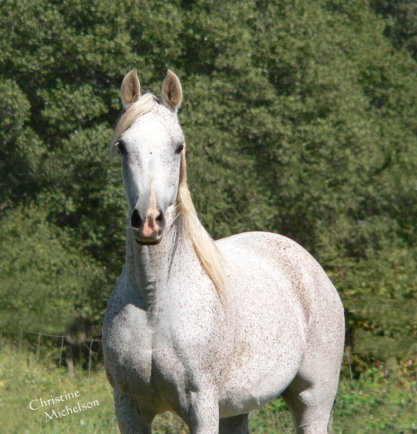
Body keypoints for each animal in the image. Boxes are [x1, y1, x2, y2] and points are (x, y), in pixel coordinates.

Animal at [102, 69, 342, 432]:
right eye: (123, 147)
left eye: (178, 146)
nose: (149, 221)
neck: (153, 303)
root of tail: (312, 268)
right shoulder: (128, 406)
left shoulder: (201, 406)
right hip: (236, 408)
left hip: (312, 401)